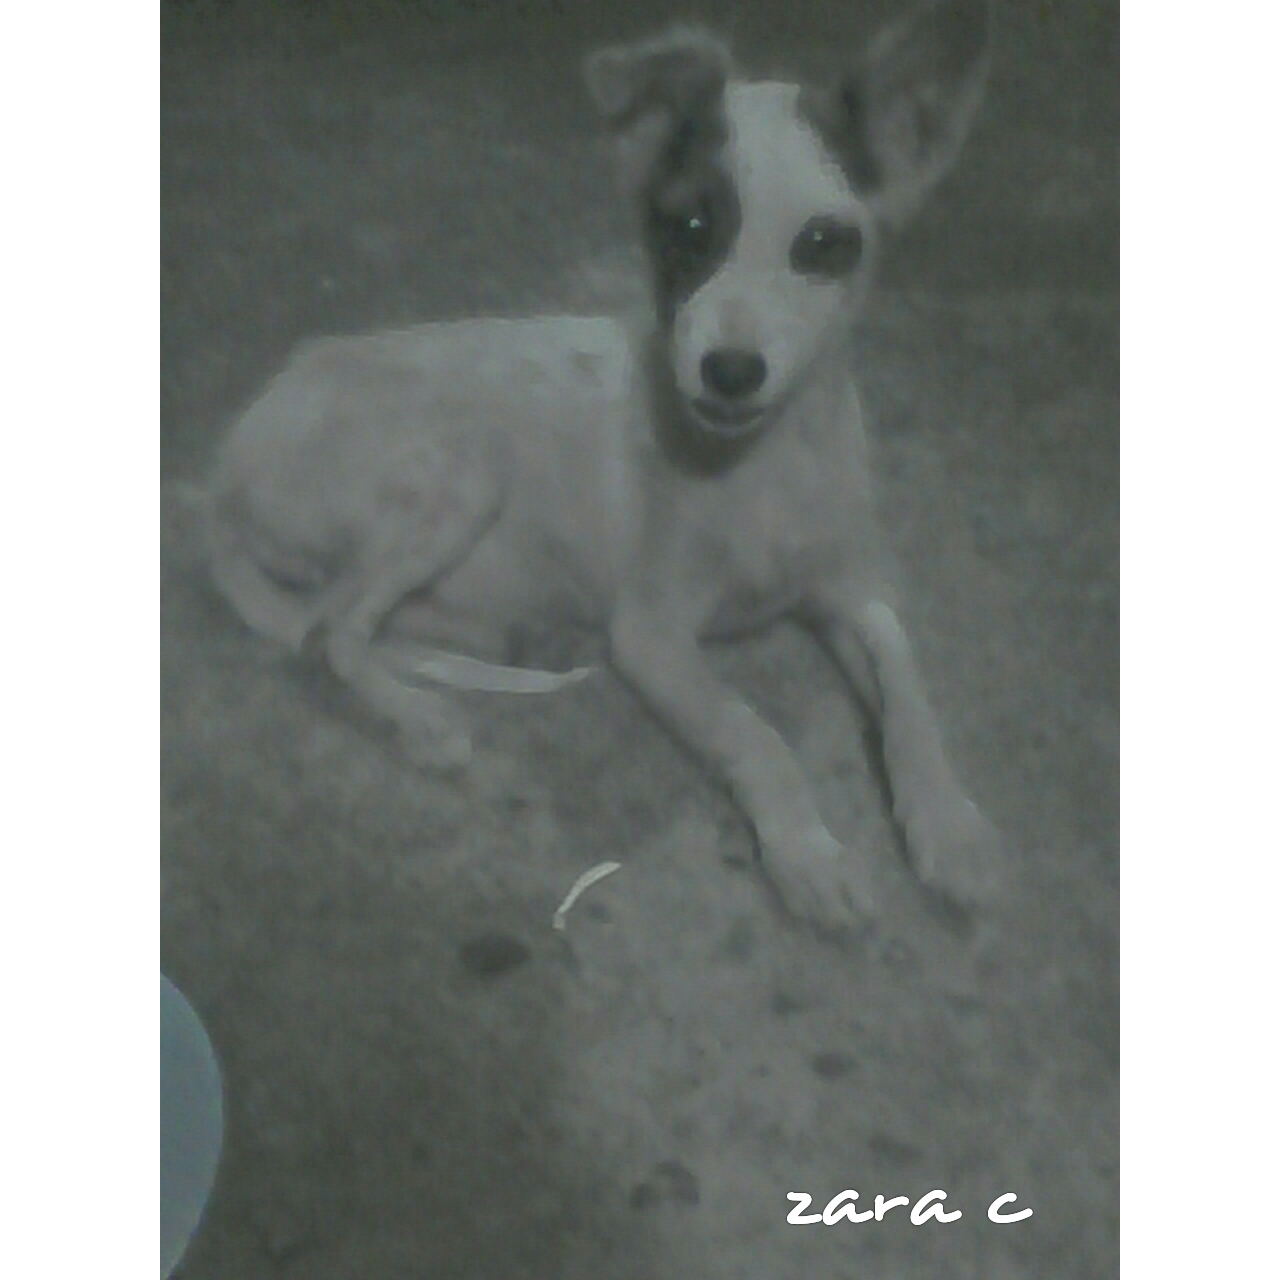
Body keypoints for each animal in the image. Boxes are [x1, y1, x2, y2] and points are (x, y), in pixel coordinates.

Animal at [207, 0, 1002, 934]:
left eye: (824, 244)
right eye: (689, 228)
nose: (729, 372)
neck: (762, 464)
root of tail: (224, 473)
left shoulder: (853, 590)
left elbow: (910, 692)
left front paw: (949, 824)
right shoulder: (652, 635)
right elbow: (752, 731)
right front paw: (807, 852)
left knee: (355, 621)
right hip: (464, 465)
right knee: (331, 631)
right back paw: (423, 719)